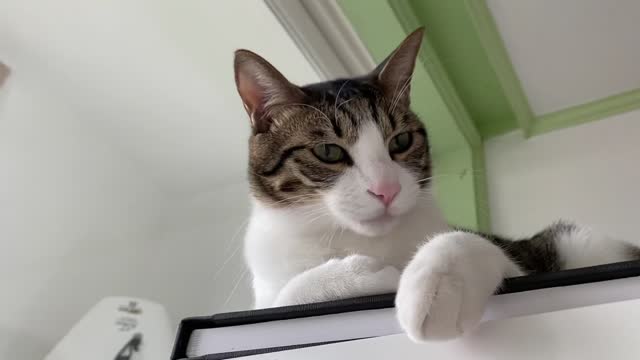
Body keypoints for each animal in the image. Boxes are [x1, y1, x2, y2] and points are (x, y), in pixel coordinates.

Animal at [234, 26, 640, 342]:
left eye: (400, 141)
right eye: (328, 151)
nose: (387, 190)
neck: (362, 239)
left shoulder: (520, 268)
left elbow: (469, 243)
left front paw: (436, 284)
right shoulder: (267, 295)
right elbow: (283, 300)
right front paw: (358, 274)